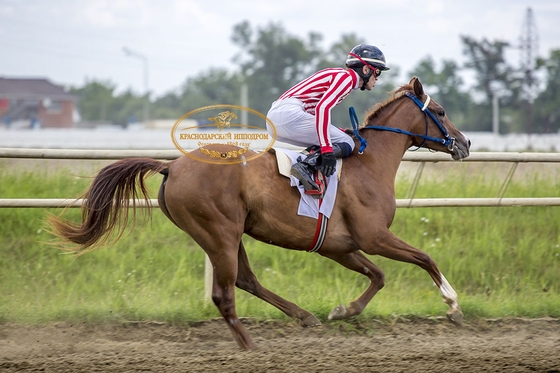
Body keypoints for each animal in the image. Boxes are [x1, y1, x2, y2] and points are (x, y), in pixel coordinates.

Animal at [50, 76, 472, 348]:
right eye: (441, 111)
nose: (465, 143)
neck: (369, 163)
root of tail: (172, 166)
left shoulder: (339, 245)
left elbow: (379, 276)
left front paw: (343, 311)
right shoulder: (373, 236)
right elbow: (425, 258)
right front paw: (453, 306)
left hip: (225, 234)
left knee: (245, 281)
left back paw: (302, 316)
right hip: (220, 232)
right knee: (224, 293)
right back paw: (250, 346)